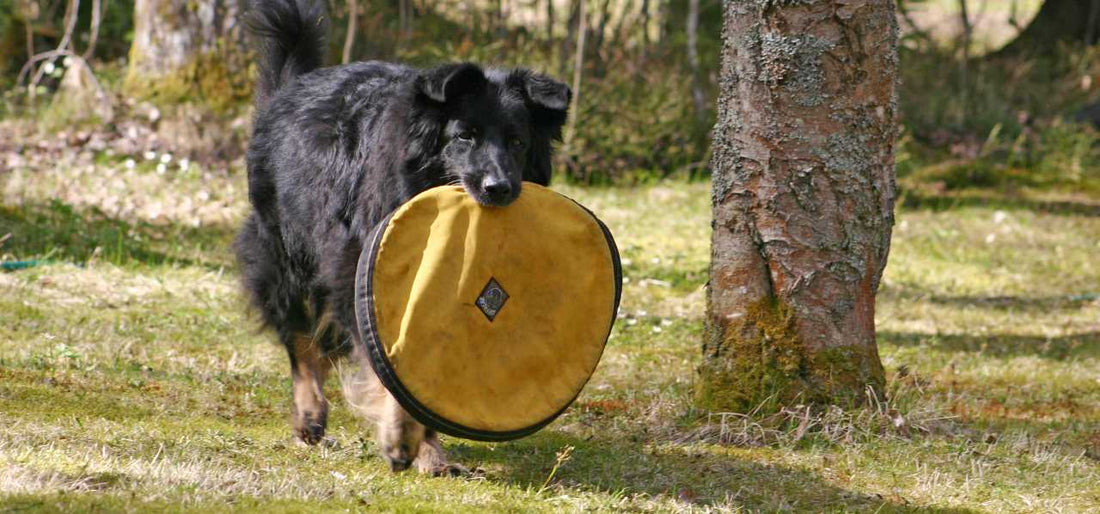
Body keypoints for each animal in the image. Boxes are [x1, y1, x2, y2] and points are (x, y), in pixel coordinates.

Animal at [235, 0, 572, 475]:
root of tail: (290, 87)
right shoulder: (357, 269)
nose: (500, 189)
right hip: (285, 252)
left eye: (518, 141)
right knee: (298, 337)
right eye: (464, 136)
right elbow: (390, 370)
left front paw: (428, 451)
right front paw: (402, 437)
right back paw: (309, 414)